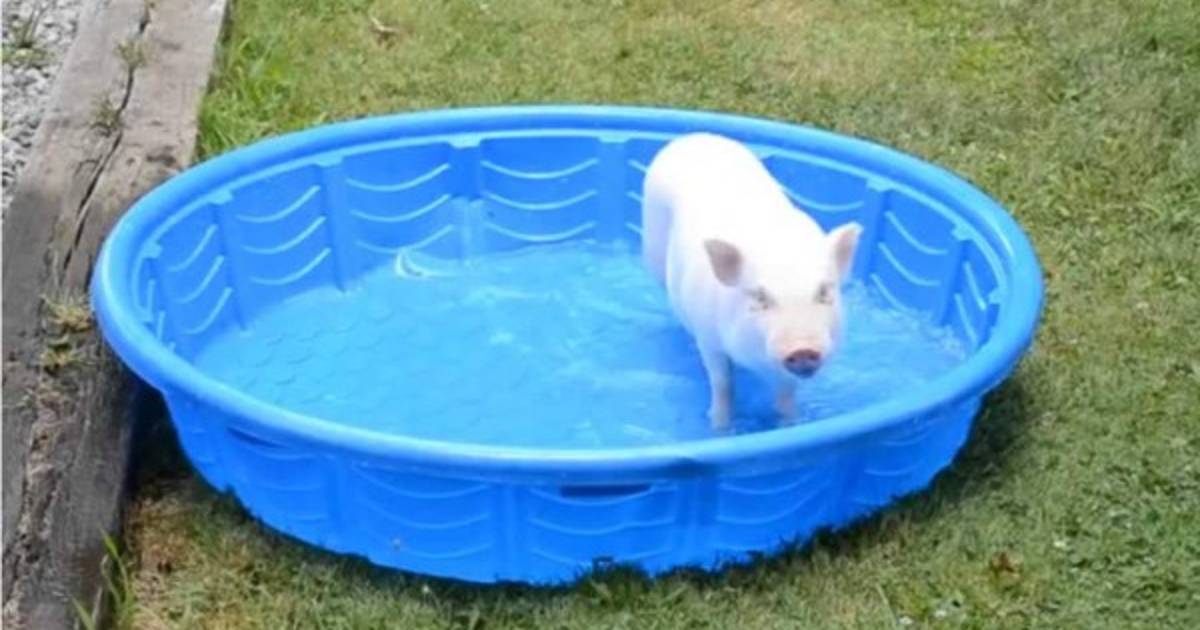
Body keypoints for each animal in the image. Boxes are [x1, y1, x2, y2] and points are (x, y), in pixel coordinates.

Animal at [641, 133, 862, 430]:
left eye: (824, 292)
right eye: (760, 297)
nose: (803, 348)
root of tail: (695, 137)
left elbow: (786, 394)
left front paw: (790, 421)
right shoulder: (709, 338)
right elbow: (722, 383)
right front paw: (719, 426)